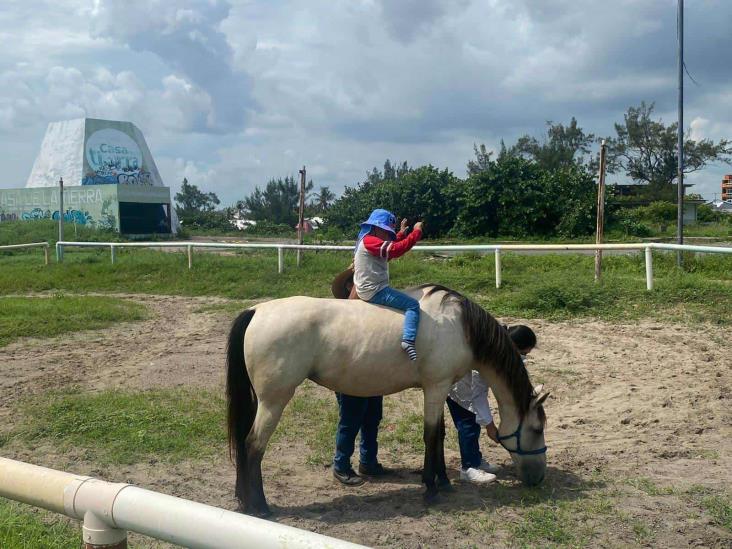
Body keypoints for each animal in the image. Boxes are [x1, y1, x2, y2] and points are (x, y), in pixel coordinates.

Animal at [226, 284, 548, 516]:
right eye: (537, 428)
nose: (538, 479)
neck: (460, 327)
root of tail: (256, 310)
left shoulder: (440, 389)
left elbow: (441, 434)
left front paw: (443, 482)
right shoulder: (435, 387)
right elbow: (431, 436)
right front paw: (431, 488)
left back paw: (245, 501)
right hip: (273, 401)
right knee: (252, 446)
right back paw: (260, 506)